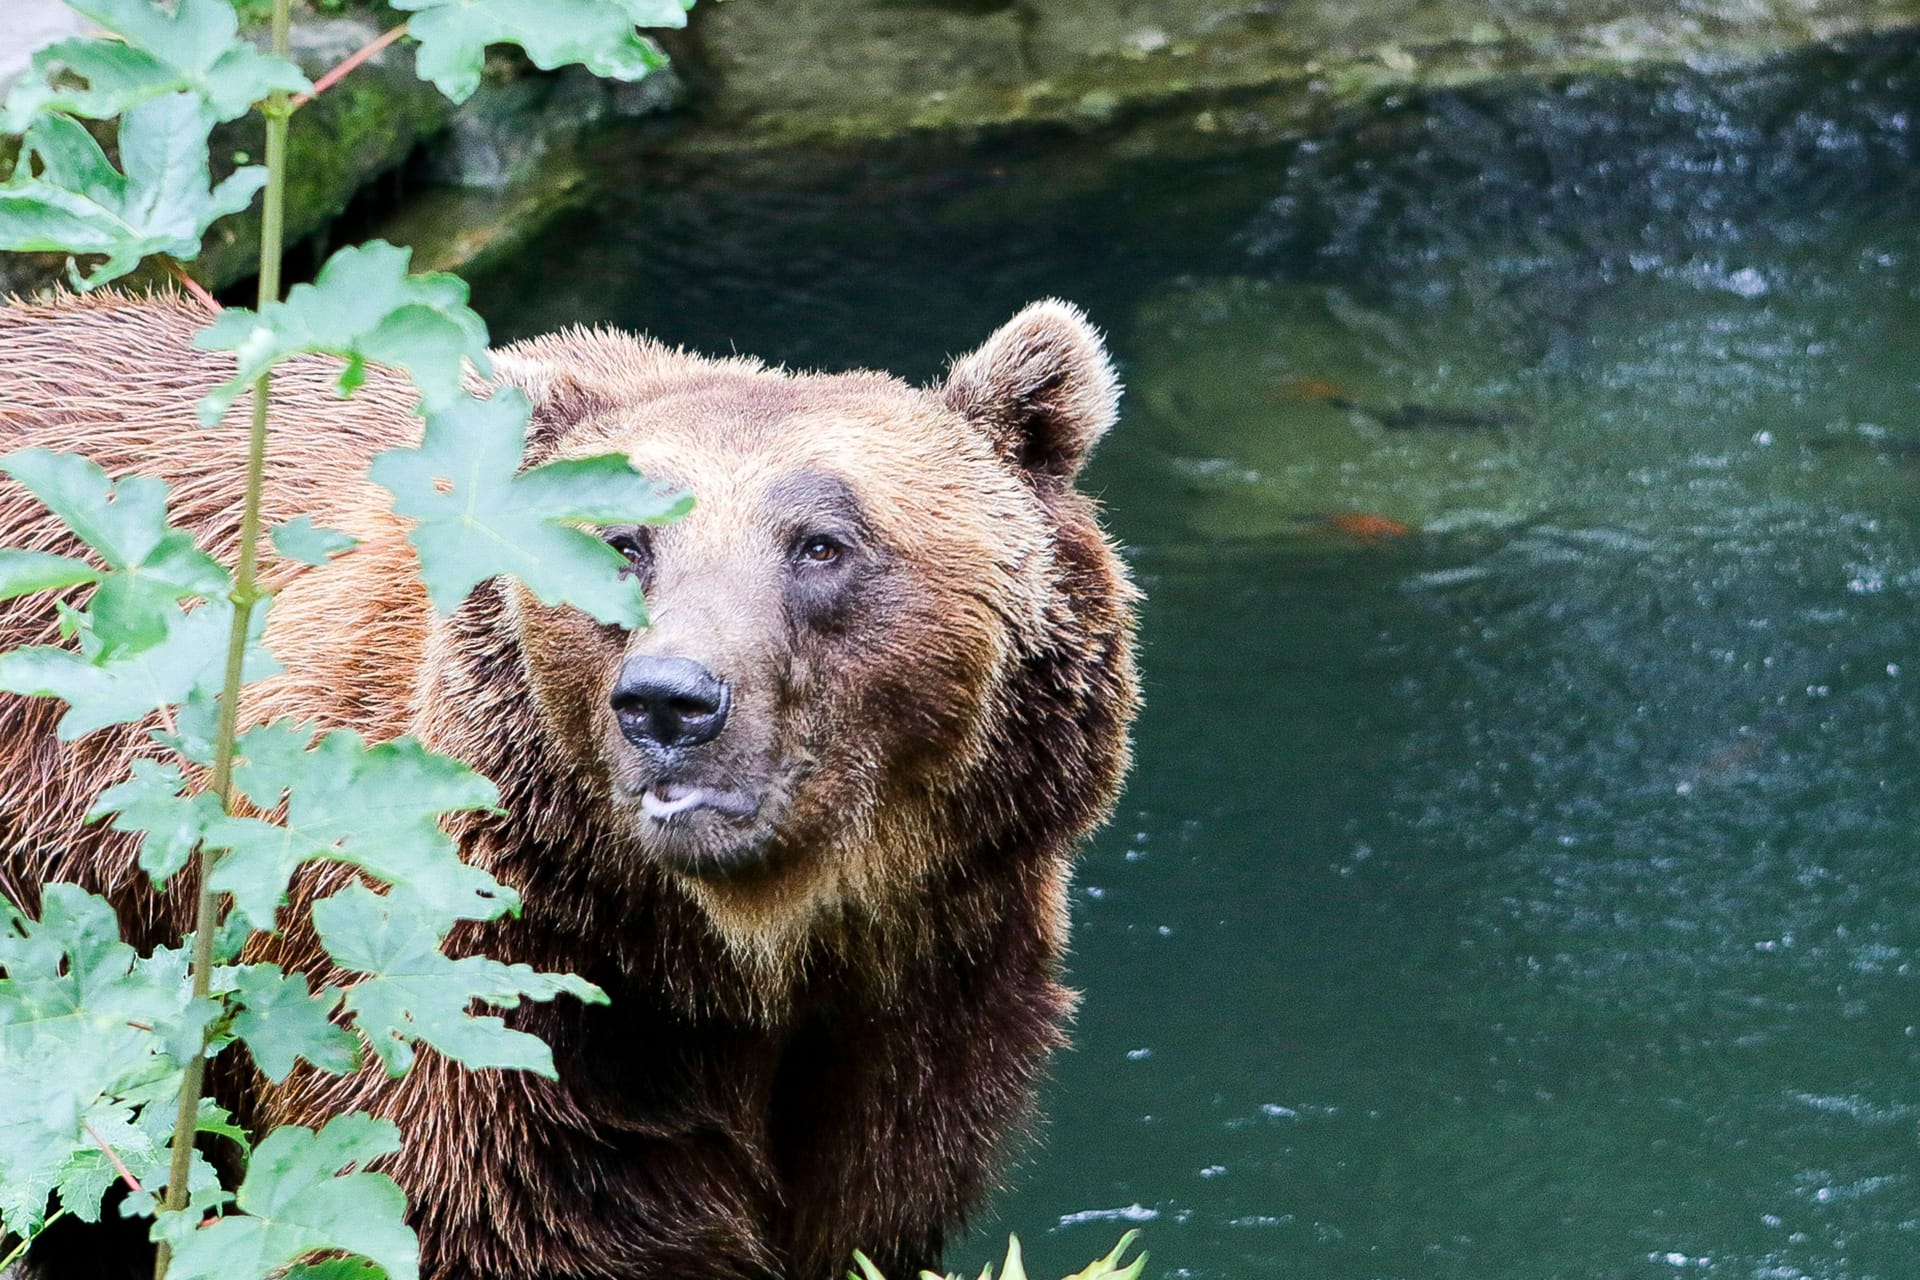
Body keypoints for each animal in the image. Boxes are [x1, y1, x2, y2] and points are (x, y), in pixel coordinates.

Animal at [0, 293, 1136, 1280]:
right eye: (623, 541)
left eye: (822, 543)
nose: (670, 700)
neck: (742, 952)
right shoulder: (482, 1002)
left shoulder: (927, 996)